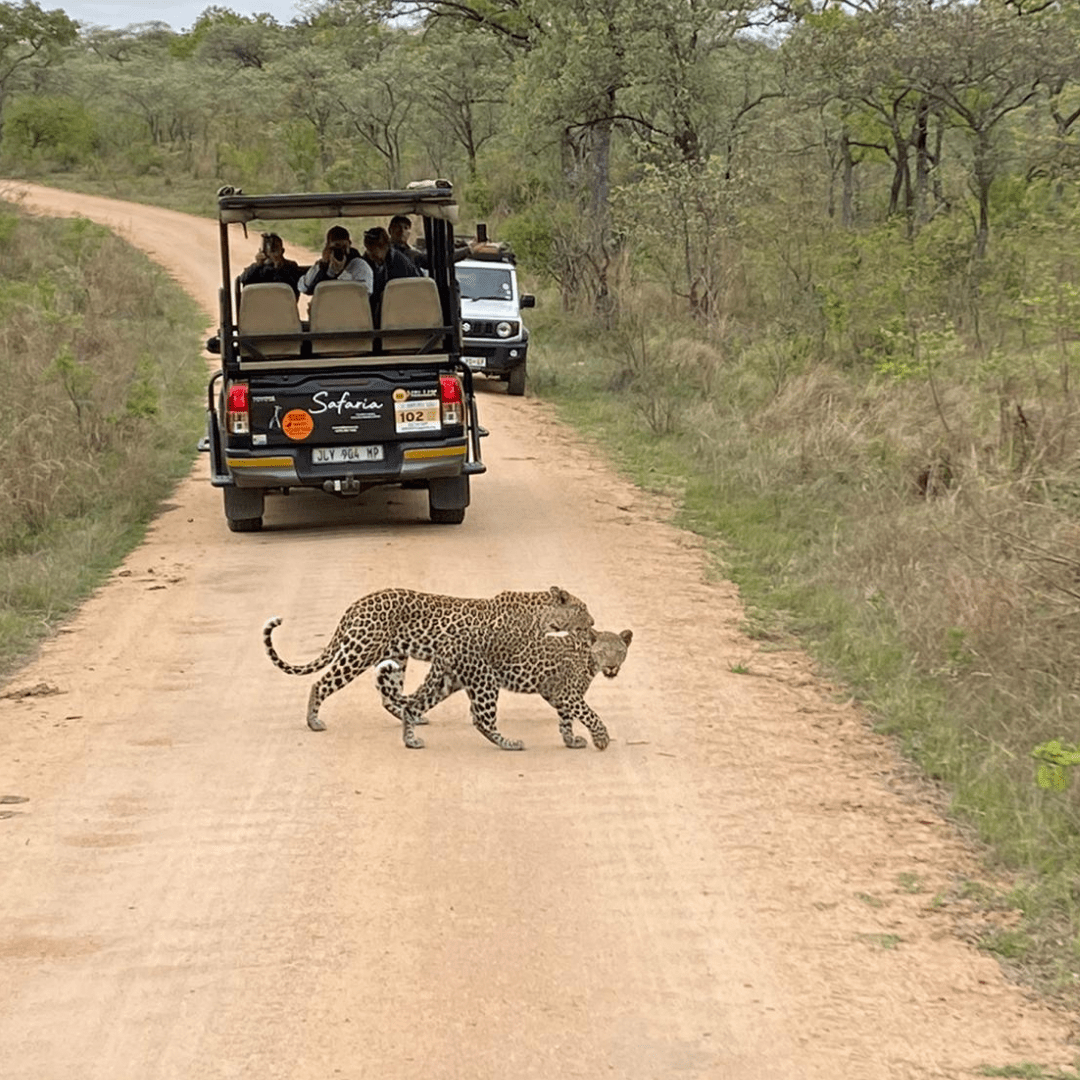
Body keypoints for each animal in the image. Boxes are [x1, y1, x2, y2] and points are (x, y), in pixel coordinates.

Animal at [264, 583, 596, 743]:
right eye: (583, 609)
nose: (593, 622)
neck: (543, 617)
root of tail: (356, 604)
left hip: (395, 657)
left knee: (389, 695)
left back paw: (414, 718)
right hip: (360, 651)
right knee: (321, 682)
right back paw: (314, 722)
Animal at [373, 626, 630, 751]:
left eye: (619, 652)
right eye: (603, 651)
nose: (611, 666)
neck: (588, 658)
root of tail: (448, 642)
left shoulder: (560, 696)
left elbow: (566, 721)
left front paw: (571, 741)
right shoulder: (568, 694)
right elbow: (591, 715)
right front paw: (602, 739)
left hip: (447, 681)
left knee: (413, 708)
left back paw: (411, 742)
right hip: (485, 681)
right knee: (482, 721)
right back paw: (510, 744)